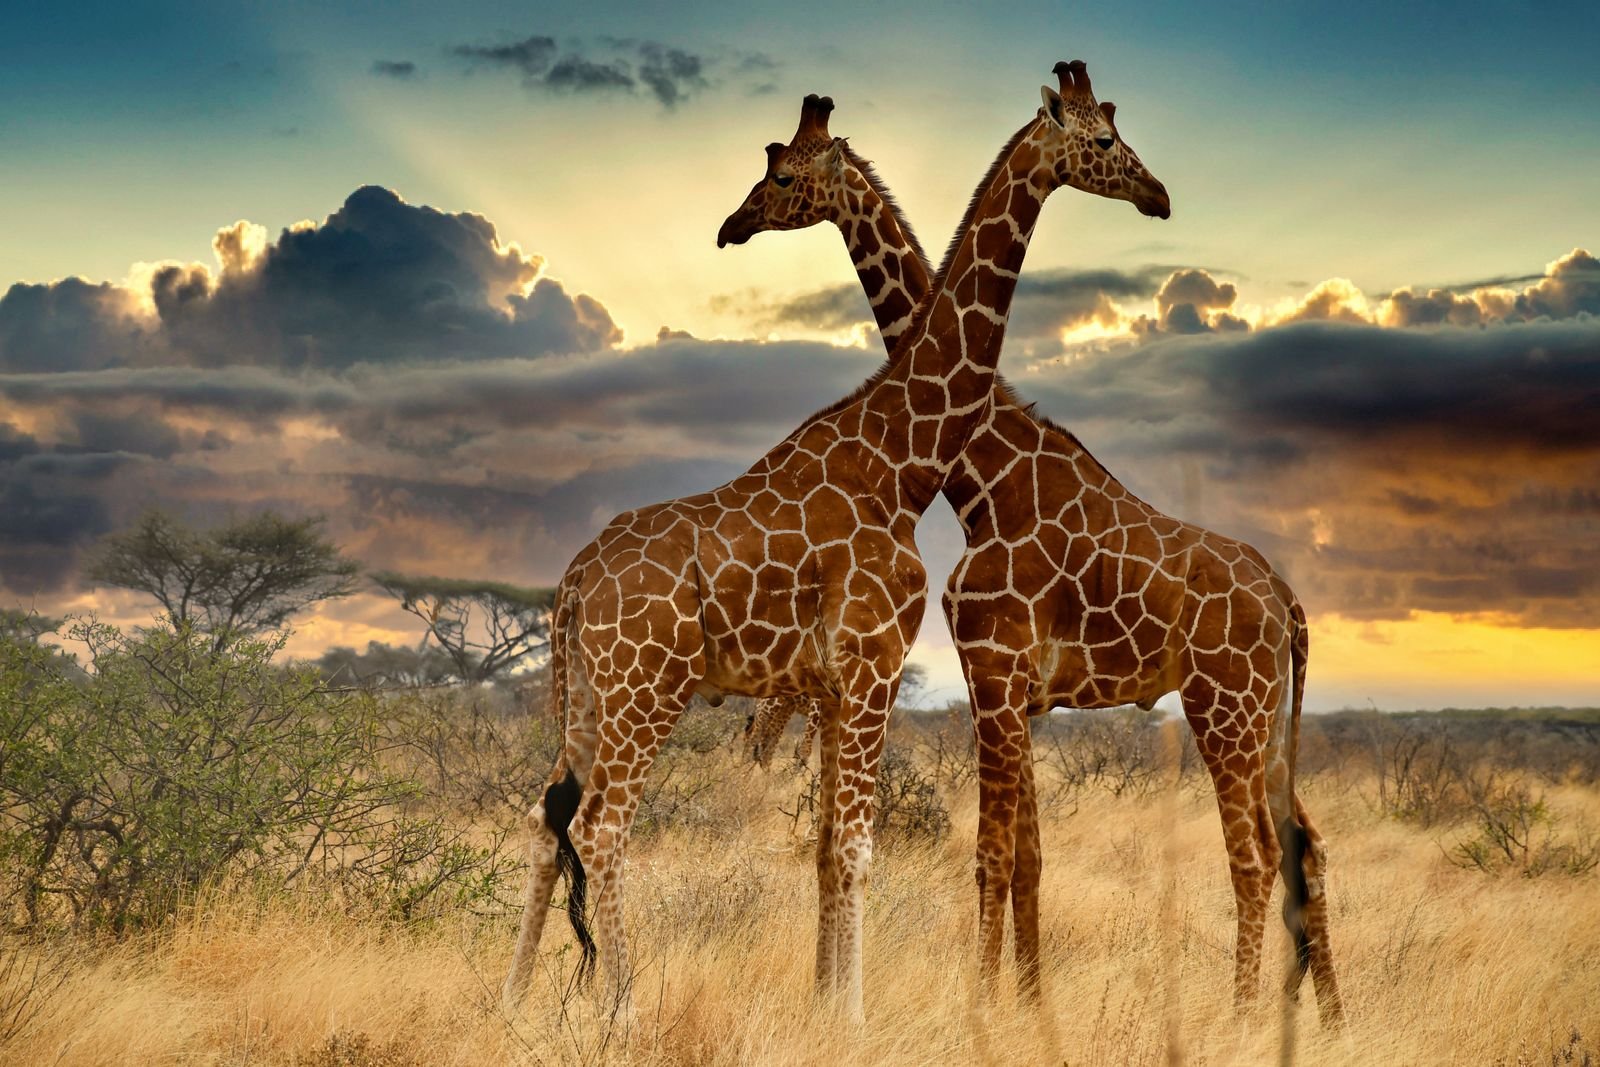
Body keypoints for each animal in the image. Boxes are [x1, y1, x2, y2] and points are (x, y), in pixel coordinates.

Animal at [504, 61, 1171, 1023]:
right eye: (1107, 139)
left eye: (779, 172)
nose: (1159, 195)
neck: (904, 460)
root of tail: (571, 584)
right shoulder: (873, 662)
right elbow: (857, 847)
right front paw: (852, 1015)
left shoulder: (828, 682)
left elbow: (825, 848)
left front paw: (826, 1004)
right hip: (647, 688)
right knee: (600, 826)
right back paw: (622, 1007)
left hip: (588, 694)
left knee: (544, 819)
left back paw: (511, 1002)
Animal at [718, 93, 1344, 1023]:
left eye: (785, 178)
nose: (732, 225)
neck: (985, 476)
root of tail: (1289, 605)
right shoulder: (1012, 687)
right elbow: (1030, 859)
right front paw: (1030, 1003)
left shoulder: (995, 670)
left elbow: (991, 853)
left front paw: (983, 1007)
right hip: (1266, 718)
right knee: (1309, 844)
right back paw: (1331, 1018)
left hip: (1223, 706)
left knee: (1256, 854)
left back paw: (1238, 1017)